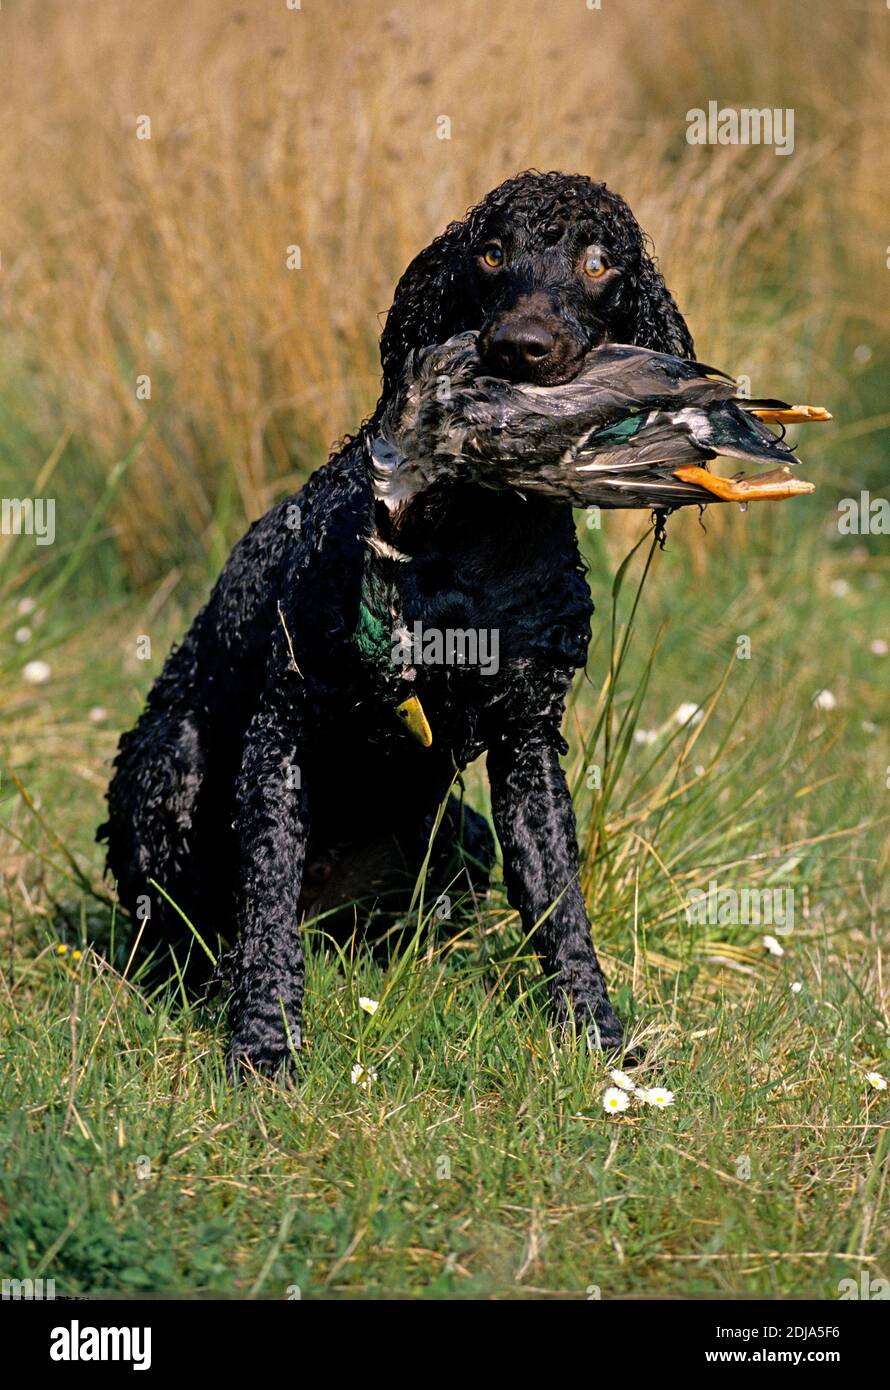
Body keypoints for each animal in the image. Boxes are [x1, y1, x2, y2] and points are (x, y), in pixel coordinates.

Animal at [100, 165, 692, 1073]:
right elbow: (266, 901)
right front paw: (264, 1044)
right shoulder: (284, 724)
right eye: (491, 253)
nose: (519, 347)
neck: (479, 536)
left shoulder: (527, 743)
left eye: (598, 262)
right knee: (184, 925)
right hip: (171, 760)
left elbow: (561, 906)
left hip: (463, 835)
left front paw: (602, 1042)